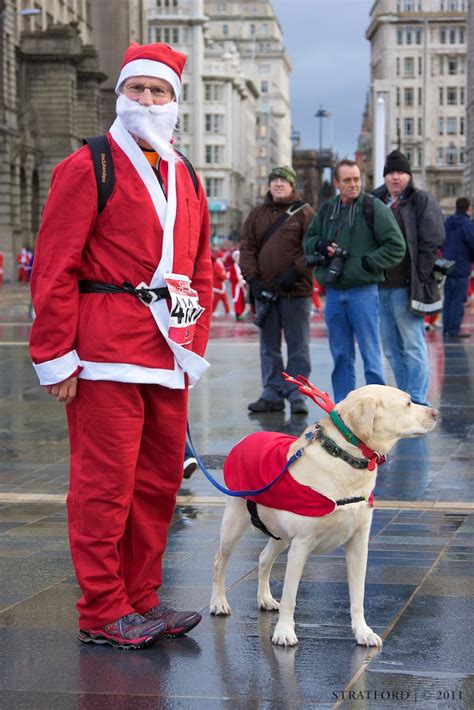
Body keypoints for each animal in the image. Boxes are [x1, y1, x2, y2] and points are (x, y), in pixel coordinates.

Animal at [209, 386, 438, 648]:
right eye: (408, 403)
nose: (436, 413)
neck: (346, 457)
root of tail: (246, 438)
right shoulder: (301, 545)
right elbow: (290, 596)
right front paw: (284, 632)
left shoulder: (358, 544)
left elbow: (358, 596)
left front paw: (363, 632)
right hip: (235, 522)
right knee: (220, 561)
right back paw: (218, 602)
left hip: (280, 534)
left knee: (264, 558)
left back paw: (265, 598)